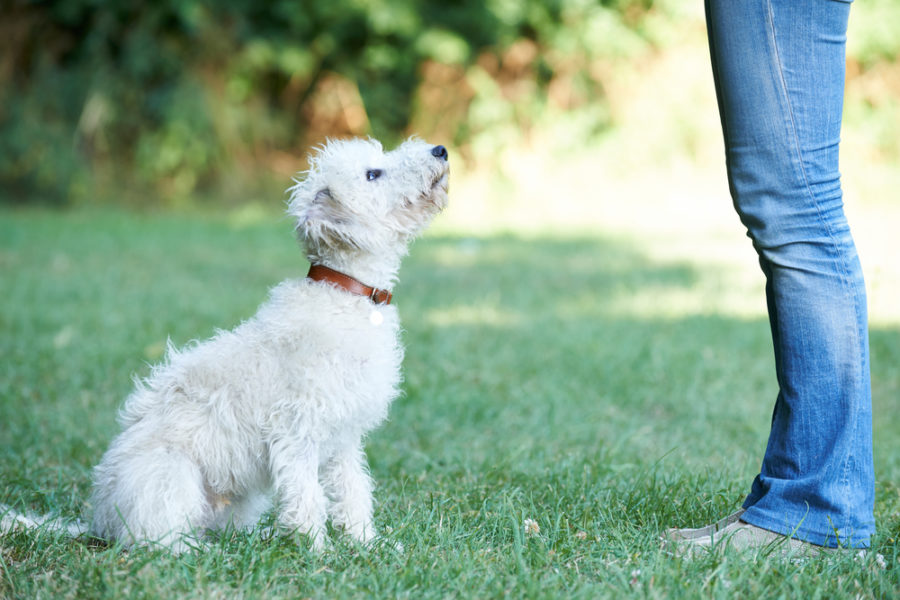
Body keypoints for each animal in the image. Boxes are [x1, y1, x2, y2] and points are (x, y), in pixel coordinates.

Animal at [0, 138, 450, 552]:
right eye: (373, 174)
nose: (441, 150)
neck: (345, 295)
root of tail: (100, 523)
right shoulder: (297, 433)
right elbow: (308, 497)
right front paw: (319, 553)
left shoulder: (344, 439)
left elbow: (353, 491)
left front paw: (365, 544)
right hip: (171, 475)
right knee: (158, 541)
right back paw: (201, 551)